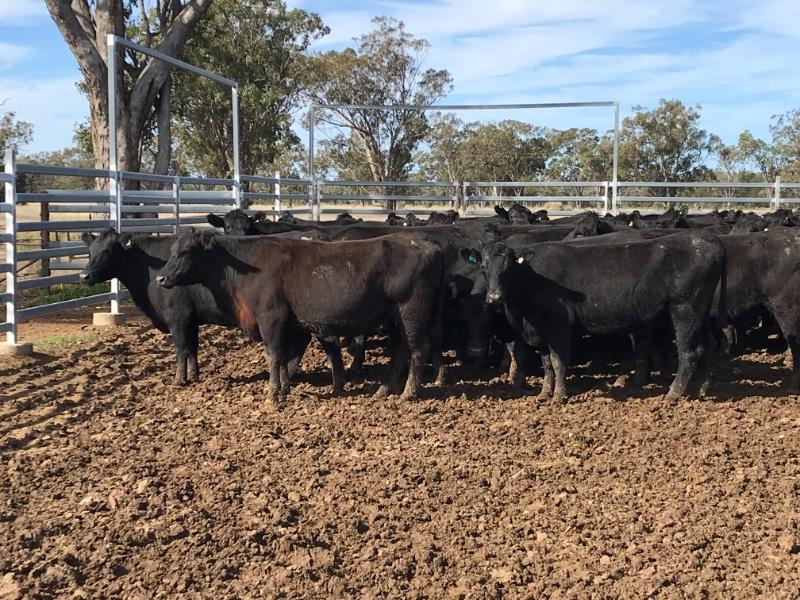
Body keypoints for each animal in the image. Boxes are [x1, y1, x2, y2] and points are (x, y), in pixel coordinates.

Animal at [156, 231, 445, 403]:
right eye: (171, 251)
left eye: (185, 251)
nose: (160, 278)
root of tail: (426, 244)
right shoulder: (289, 326)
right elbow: (286, 358)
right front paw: (284, 388)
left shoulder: (270, 319)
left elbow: (273, 356)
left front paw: (273, 394)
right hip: (395, 318)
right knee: (400, 351)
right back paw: (384, 390)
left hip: (411, 312)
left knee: (418, 350)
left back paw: (408, 393)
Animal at [478, 228, 726, 402]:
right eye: (483, 268)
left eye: (508, 268)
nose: (494, 297)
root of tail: (702, 238)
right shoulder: (538, 331)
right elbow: (546, 363)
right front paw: (544, 393)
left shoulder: (558, 326)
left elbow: (558, 362)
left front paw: (559, 396)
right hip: (699, 314)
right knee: (709, 347)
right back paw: (700, 389)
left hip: (684, 310)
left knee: (689, 353)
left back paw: (673, 394)